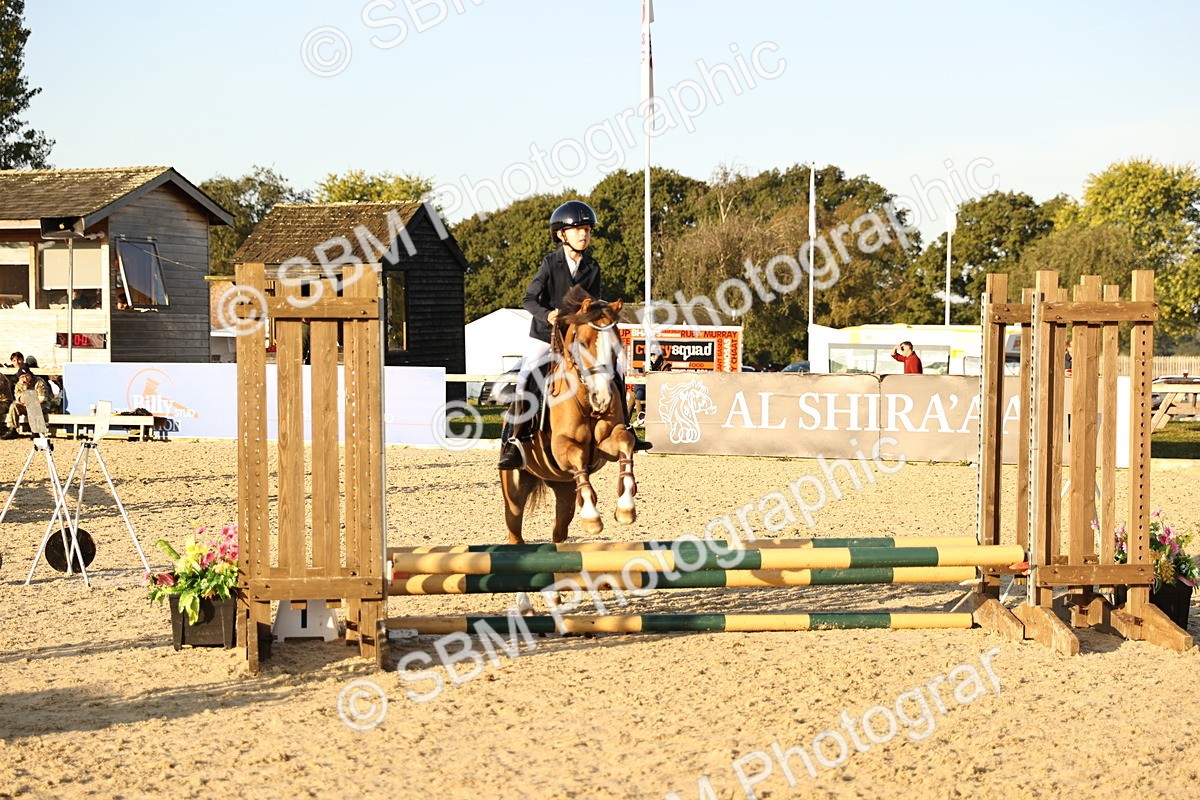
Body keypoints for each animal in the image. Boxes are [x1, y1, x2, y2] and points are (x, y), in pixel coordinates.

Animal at [500, 286, 638, 544]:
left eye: (616, 347)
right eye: (582, 344)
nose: (602, 400)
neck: (585, 399)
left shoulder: (608, 442)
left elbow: (626, 442)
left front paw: (626, 508)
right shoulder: (561, 446)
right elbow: (576, 454)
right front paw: (592, 518)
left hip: (563, 490)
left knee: (559, 530)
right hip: (514, 492)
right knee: (514, 527)